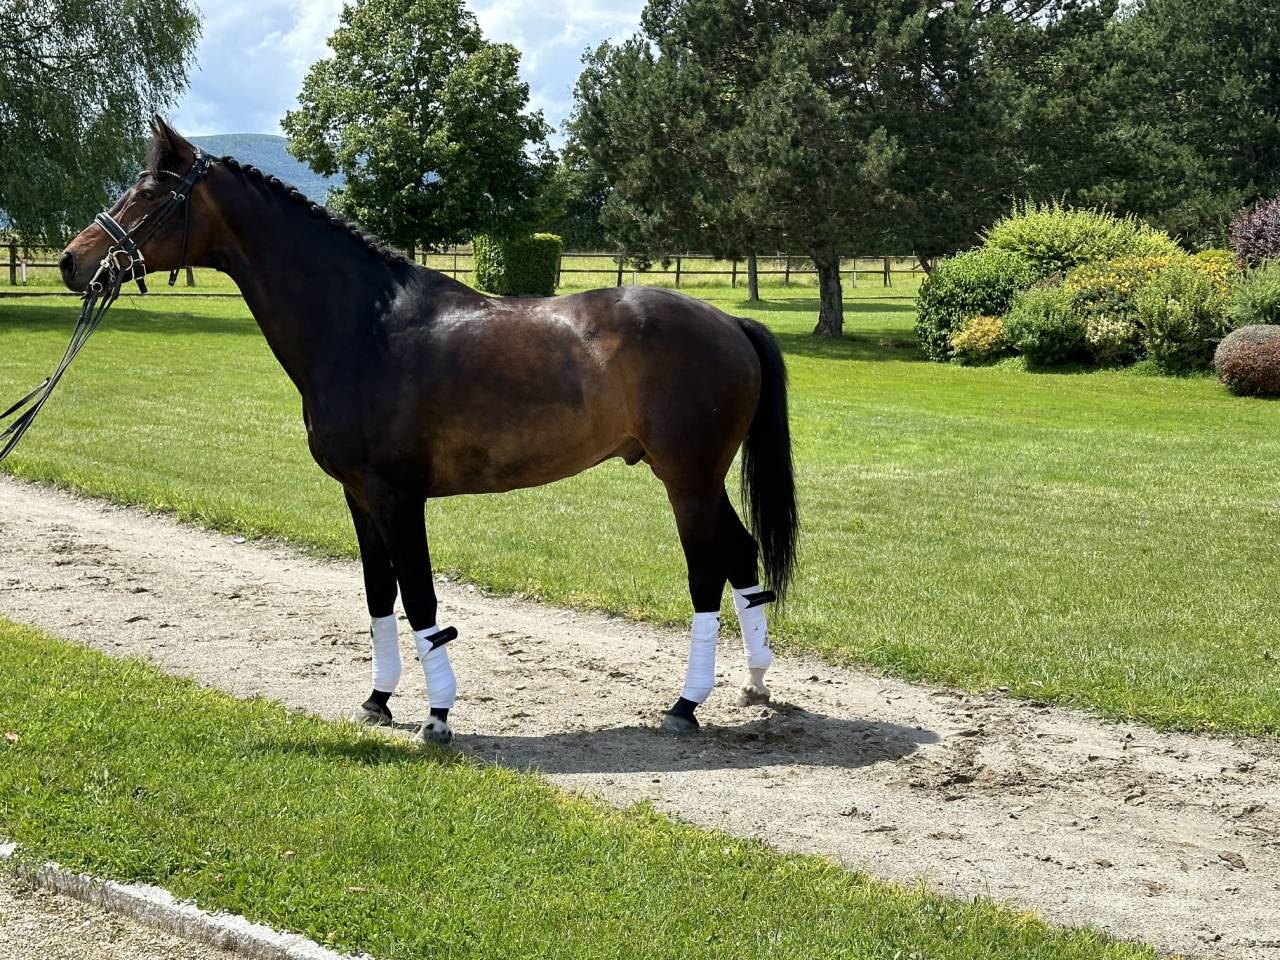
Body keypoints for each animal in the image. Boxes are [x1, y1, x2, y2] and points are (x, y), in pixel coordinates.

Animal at [58, 117, 798, 744]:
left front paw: (437, 716)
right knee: (743, 556)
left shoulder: (397, 496)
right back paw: (754, 684)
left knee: (707, 573)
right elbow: (378, 594)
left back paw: (686, 705)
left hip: (687, 479)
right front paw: (378, 699)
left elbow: (418, 596)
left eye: (147, 193)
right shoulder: (358, 496)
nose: (71, 261)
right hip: (700, 480)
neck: (364, 327)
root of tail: (731, 324)